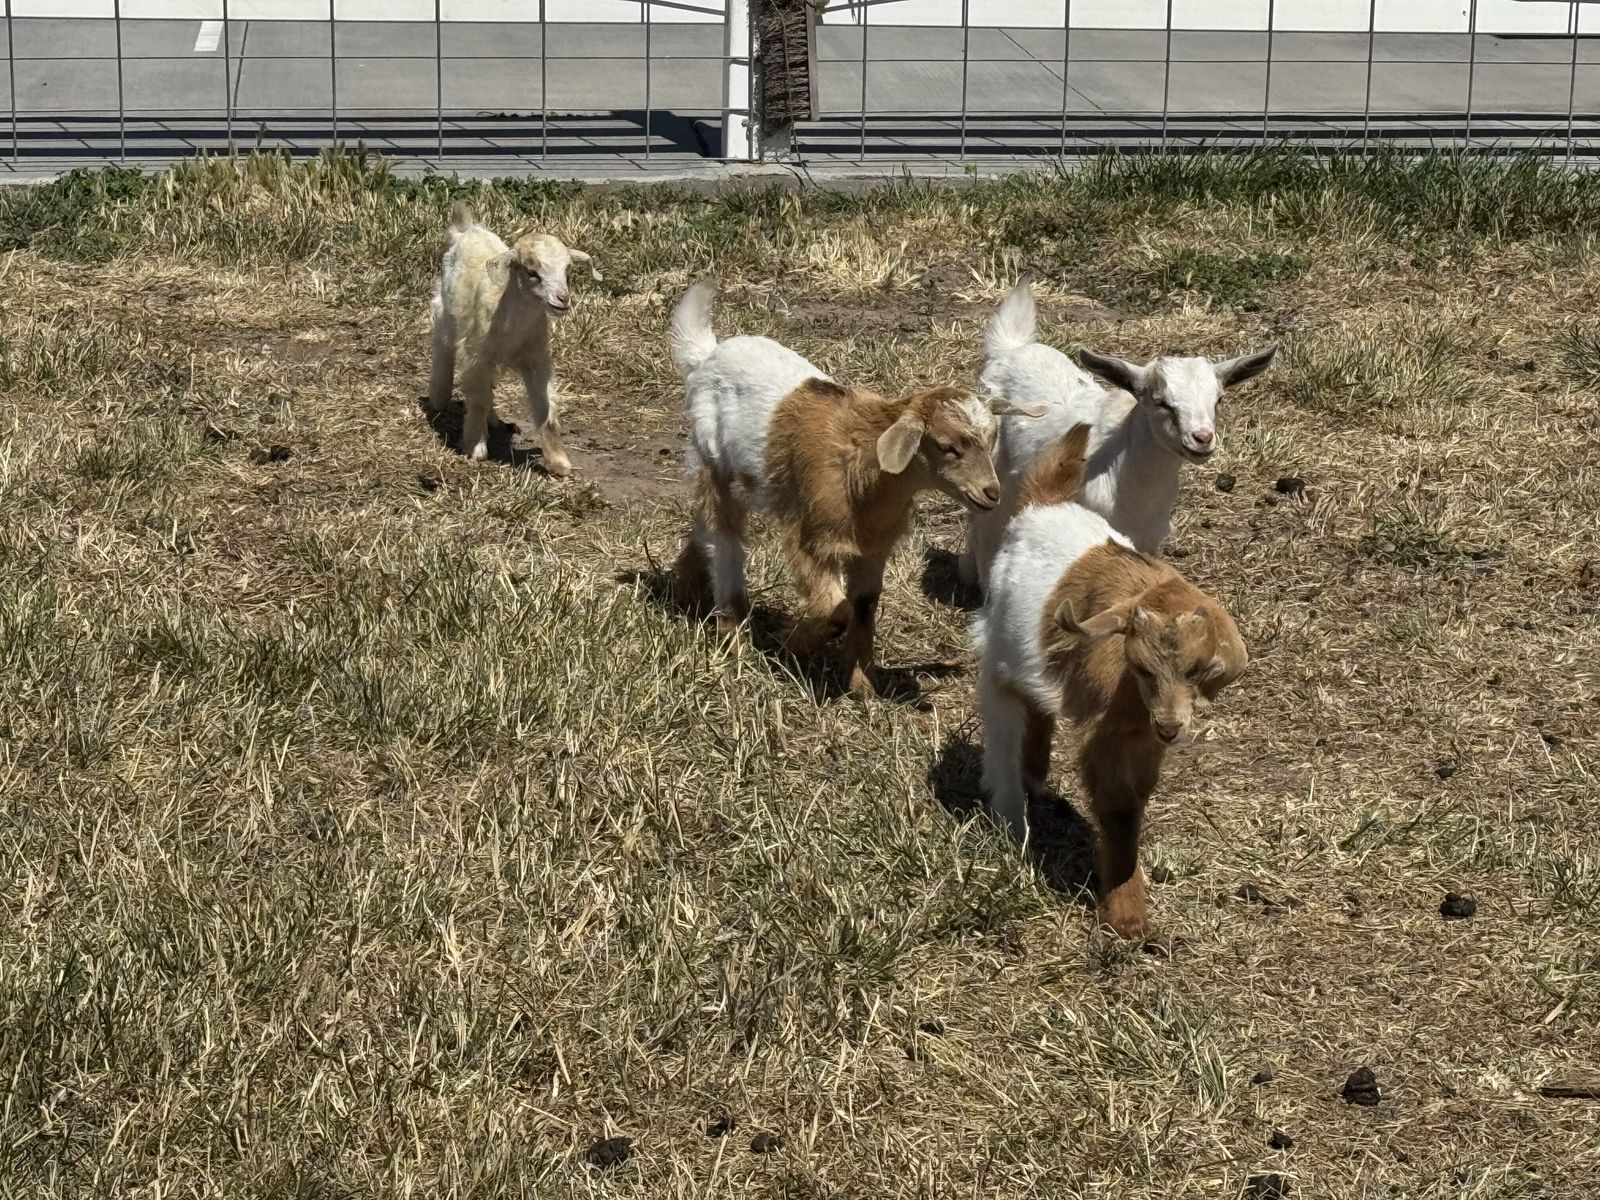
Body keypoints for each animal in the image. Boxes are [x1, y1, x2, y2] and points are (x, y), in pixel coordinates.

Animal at [427, 203, 596, 475]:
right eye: (531, 271)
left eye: (567, 269)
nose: (562, 299)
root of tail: (468, 228)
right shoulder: (476, 356)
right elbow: (478, 400)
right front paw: (475, 446)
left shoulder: (536, 358)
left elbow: (544, 406)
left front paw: (558, 461)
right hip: (447, 311)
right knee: (443, 343)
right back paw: (439, 399)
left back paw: (493, 419)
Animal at [670, 280, 1041, 697]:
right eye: (948, 447)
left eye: (993, 440)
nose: (991, 493)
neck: (866, 474)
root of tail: (707, 356)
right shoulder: (813, 538)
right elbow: (837, 612)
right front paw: (788, 644)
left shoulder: (873, 547)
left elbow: (863, 605)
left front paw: (862, 687)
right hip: (713, 460)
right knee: (723, 535)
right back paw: (732, 631)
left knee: (705, 527)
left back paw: (688, 586)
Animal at [959, 278, 1277, 591]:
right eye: (1161, 402)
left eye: (1218, 400)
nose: (1202, 438)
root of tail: (1009, 349)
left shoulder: (1148, 539)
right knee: (983, 521)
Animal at [973, 422, 1249, 939]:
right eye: (1138, 666)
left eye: (1199, 670)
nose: (1170, 726)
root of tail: (1044, 505)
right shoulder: (1107, 734)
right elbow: (1118, 805)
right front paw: (1126, 914)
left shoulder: (1145, 738)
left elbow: (1137, 797)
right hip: (996, 651)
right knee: (1003, 714)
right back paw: (1011, 816)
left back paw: (1034, 778)